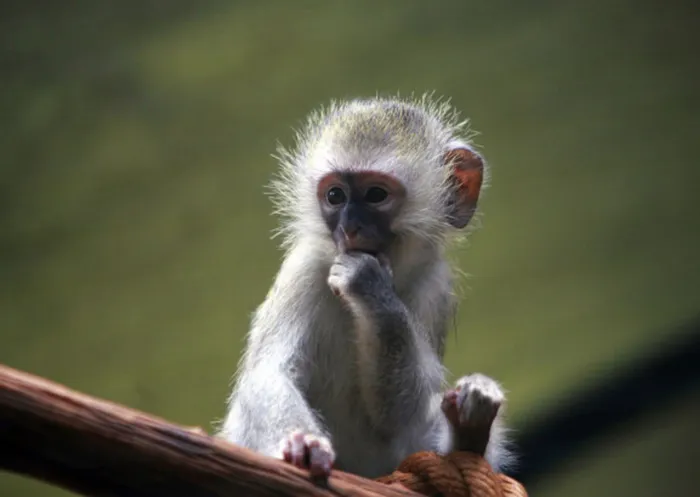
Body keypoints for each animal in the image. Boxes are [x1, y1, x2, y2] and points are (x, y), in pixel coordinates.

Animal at [218, 94, 513, 479]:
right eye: (335, 195)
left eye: (375, 194)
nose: (349, 227)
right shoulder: (304, 268)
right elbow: (268, 373)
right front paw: (304, 443)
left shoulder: (434, 285)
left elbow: (401, 416)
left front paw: (371, 290)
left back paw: (470, 432)